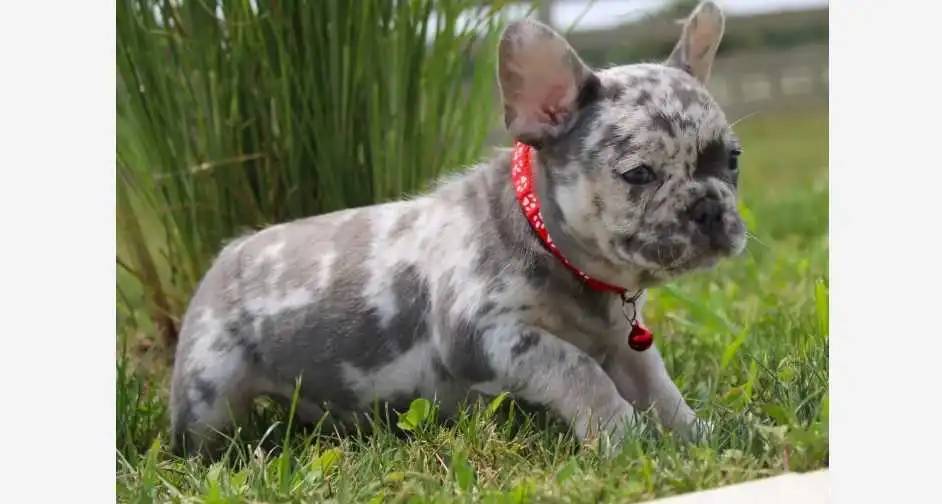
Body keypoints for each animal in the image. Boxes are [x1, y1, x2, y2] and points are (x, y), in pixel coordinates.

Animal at [168, 0, 744, 456]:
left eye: (733, 160)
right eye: (639, 174)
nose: (709, 208)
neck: (548, 243)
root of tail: (227, 253)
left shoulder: (624, 346)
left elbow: (657, 387)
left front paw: (695, 435)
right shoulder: (489, 334)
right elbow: (580, 371)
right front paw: (622, 438)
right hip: (207, 389)